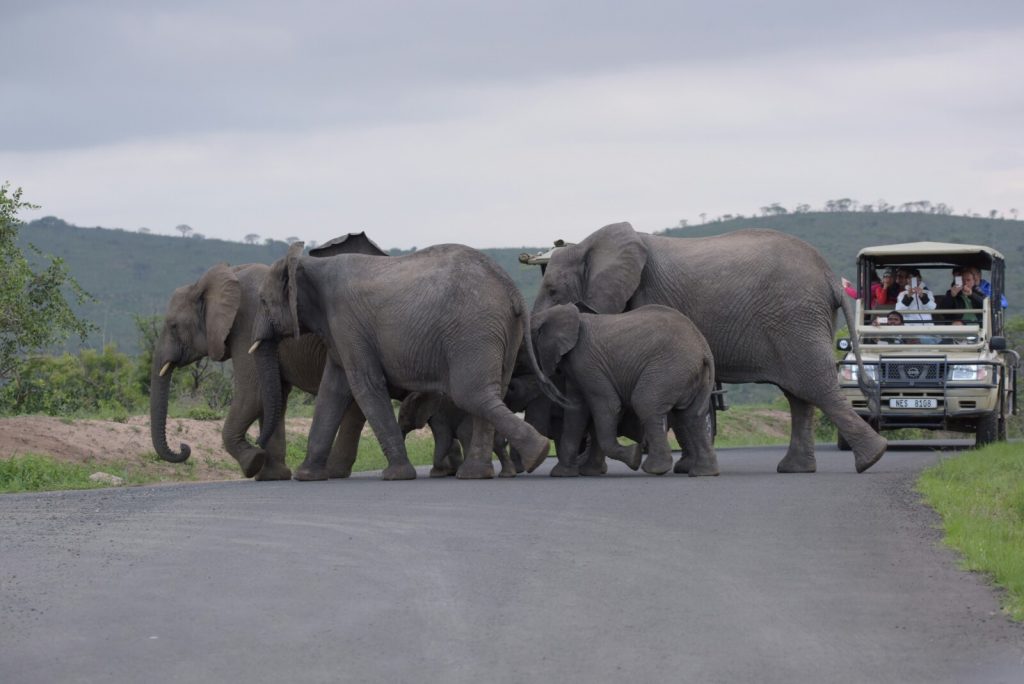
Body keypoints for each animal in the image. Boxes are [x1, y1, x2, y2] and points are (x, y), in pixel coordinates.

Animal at [150, 232, 387, 479]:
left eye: (173, 326)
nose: (183, 447)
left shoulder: (244, 326)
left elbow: (252, 394)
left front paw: (252, 463)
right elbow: (274, 396)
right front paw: (272, 476)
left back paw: (333, 471)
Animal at [395, 393, 524, 479]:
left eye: (402, 416)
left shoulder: (438, 416)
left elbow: (444, 438)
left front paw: (438, 473)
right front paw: (446, 471)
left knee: (464, 433)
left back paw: (464, 473)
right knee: (497, 445)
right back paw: (507, 475)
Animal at [532, 305, 716, 475]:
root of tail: (704, 349)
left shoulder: (587, 364)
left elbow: (608, 405)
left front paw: (634, 457)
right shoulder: (575, 369)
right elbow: (576, 413)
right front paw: (561, 473)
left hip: (669, 368)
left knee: (645, 403)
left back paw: (654, 469)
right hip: (692, 375)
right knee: (692, 416)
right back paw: (704, 472)